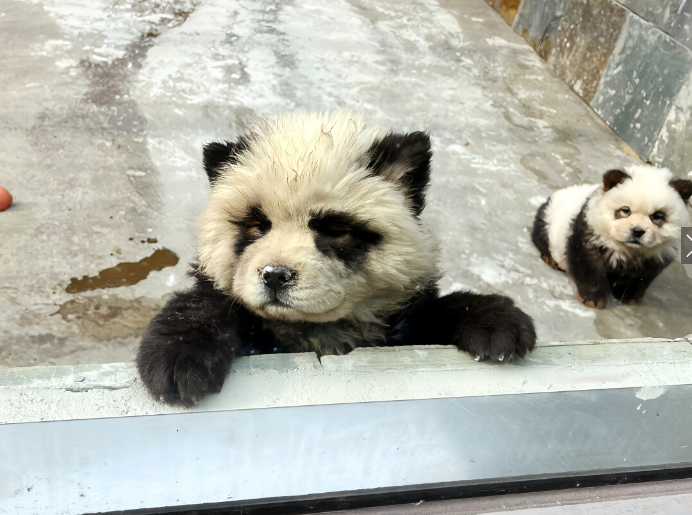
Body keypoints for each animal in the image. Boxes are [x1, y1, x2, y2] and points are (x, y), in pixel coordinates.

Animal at [135, 111, 536, 406]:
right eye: (255, 225)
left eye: (334, 229)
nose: (275, 275)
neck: (313, 329)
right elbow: (207, 300)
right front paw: (176, 359)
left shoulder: (398, 320)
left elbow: (431, 312)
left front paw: (498, 323)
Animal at [532, 167, 688, 308]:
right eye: (625, 210)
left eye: (657, 216)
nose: (637, 231)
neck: (630, 250)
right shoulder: (590, 232)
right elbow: (590, 266)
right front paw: (593, 300)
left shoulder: (658, 254)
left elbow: (642, 277)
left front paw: (629, 297)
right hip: (550, 218)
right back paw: (550, 259)